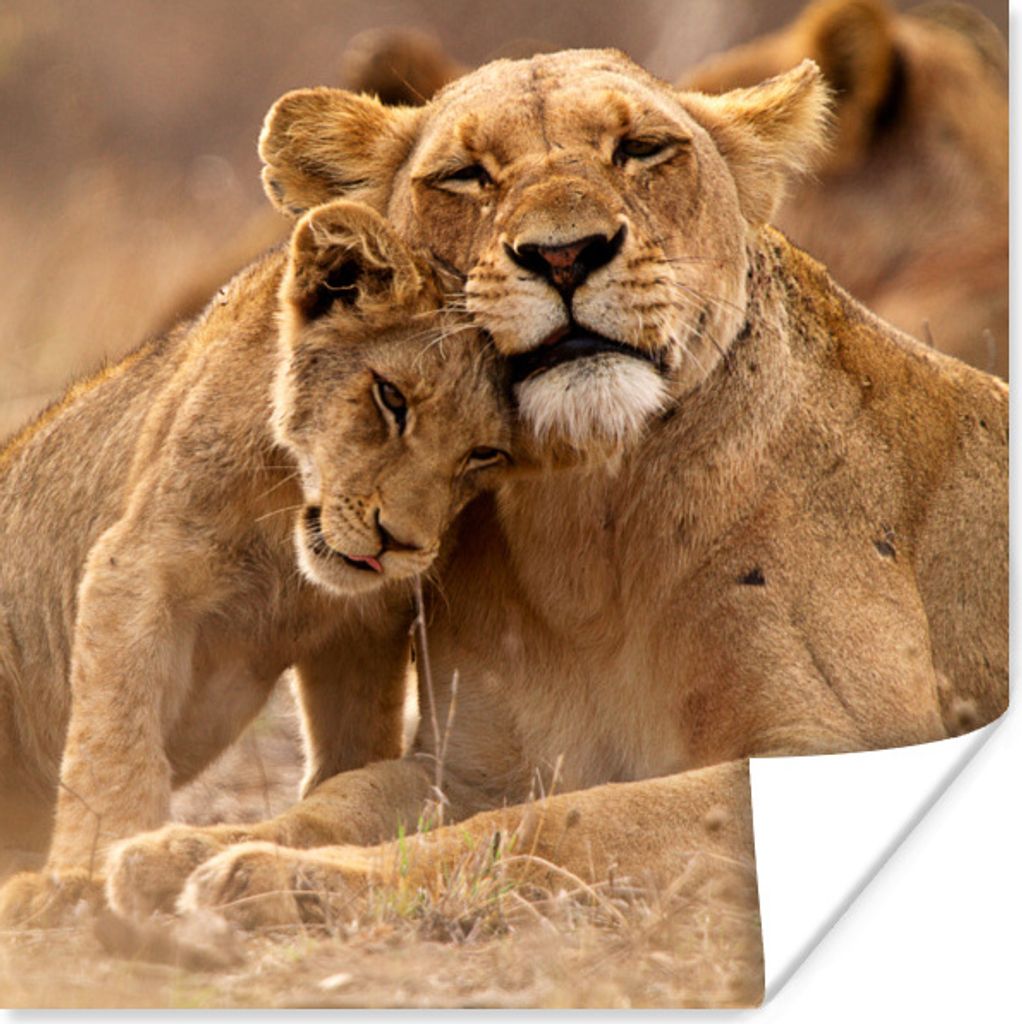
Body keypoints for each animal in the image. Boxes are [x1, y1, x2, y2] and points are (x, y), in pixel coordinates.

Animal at [0, 200, 512, 924]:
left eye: (485, 453)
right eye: (391, 397)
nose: (400, 544)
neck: (286, 521)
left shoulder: (363, 627)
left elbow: (358, 744)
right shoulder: (135, 567)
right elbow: (114, 740)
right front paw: (83, 874)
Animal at [99, 49, 1005, 965]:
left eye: (640, 150)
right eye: (466, 174)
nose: (566, 255)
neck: (584, 528)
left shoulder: (827, 747)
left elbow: (564, 822)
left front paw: (277, 883)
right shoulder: (468, 764)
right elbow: (344, 799)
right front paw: (177, 850)